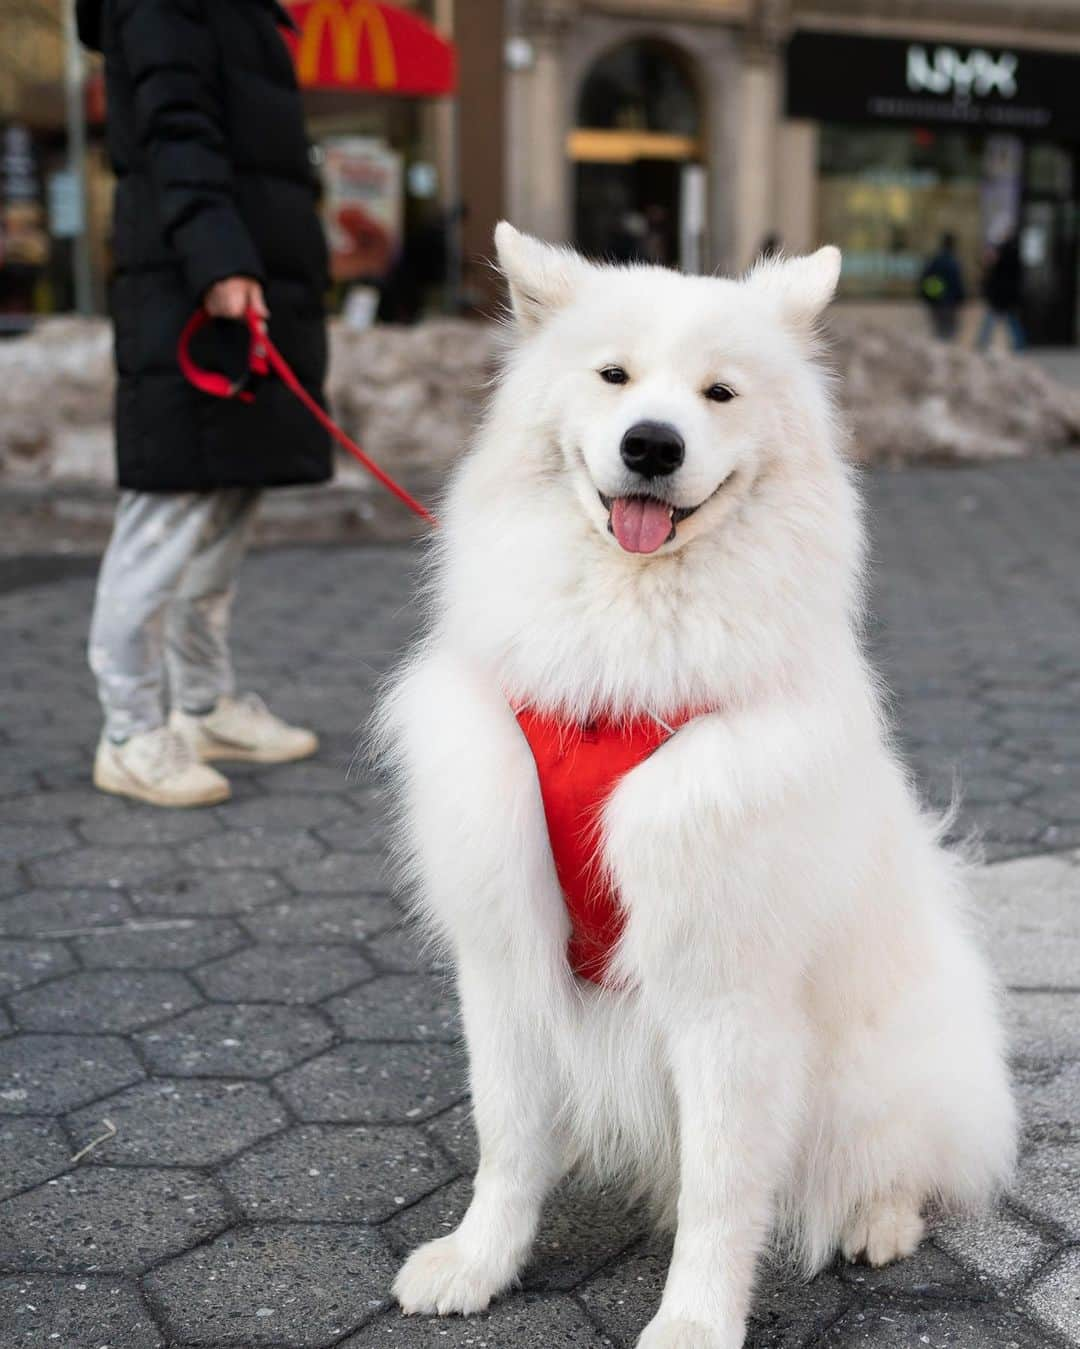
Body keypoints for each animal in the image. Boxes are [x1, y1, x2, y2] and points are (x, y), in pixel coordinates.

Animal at [374, 226, 1013, 1343]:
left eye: (719, 392)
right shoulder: (503, 949)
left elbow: (723, 1190)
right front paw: (480, 1260)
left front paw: (695, 1322)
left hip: (876, 1069)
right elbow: (506, 1135)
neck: (620, 677)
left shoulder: (726, 986)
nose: (653, 446)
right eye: (614, 377)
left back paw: (879, 1219)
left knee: (907, 1160)